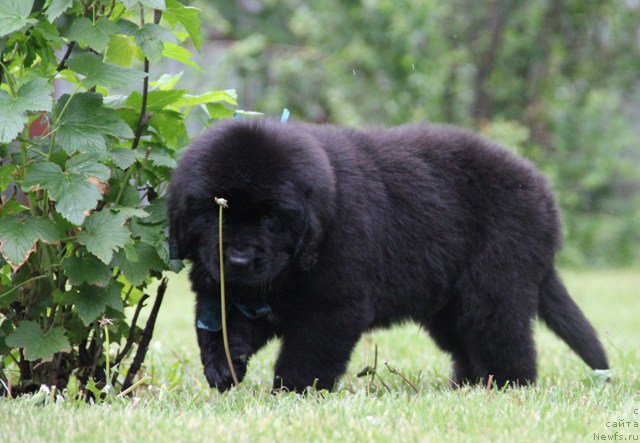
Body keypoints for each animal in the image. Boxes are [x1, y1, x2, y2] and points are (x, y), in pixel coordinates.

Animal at [168, 119, 608, 392]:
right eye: (214, 213)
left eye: (272, 218)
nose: (240, 261)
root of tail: (547, 200)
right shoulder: (228, 291)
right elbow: (218, 327)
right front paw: (223, 368)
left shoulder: (334, 307)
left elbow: (306, 357)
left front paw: (290, 394)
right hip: (448, 305)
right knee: (468, 343)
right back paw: (466, 387)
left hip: (496, 284)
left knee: (506, 340)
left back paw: (508, 388)